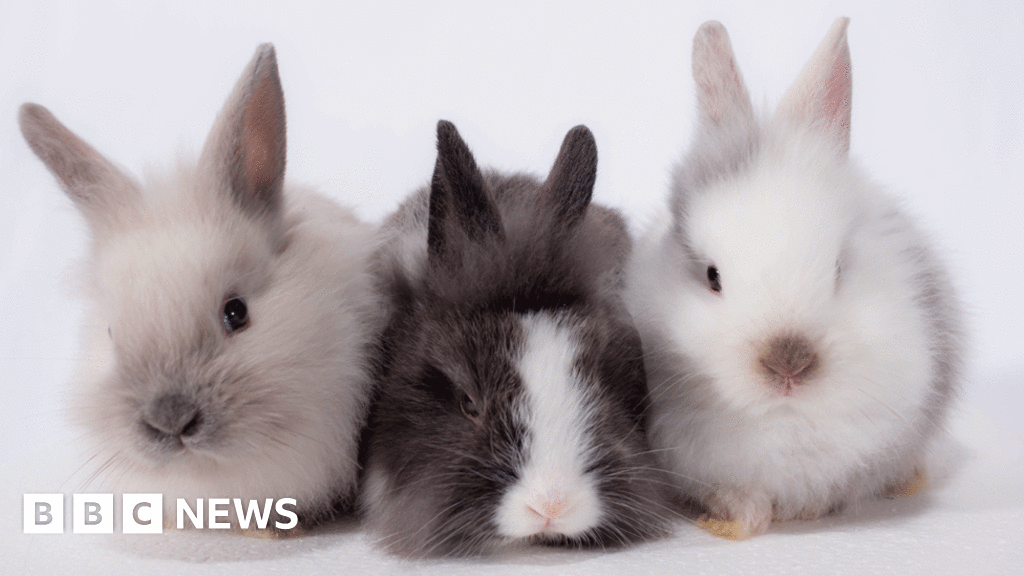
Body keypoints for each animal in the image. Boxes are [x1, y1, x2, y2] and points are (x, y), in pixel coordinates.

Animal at [625, 17, 964, 539]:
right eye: (712, 276)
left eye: (838, 268)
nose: (788, 364)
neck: (785, 421)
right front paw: (740, 518)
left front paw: (807, 510)